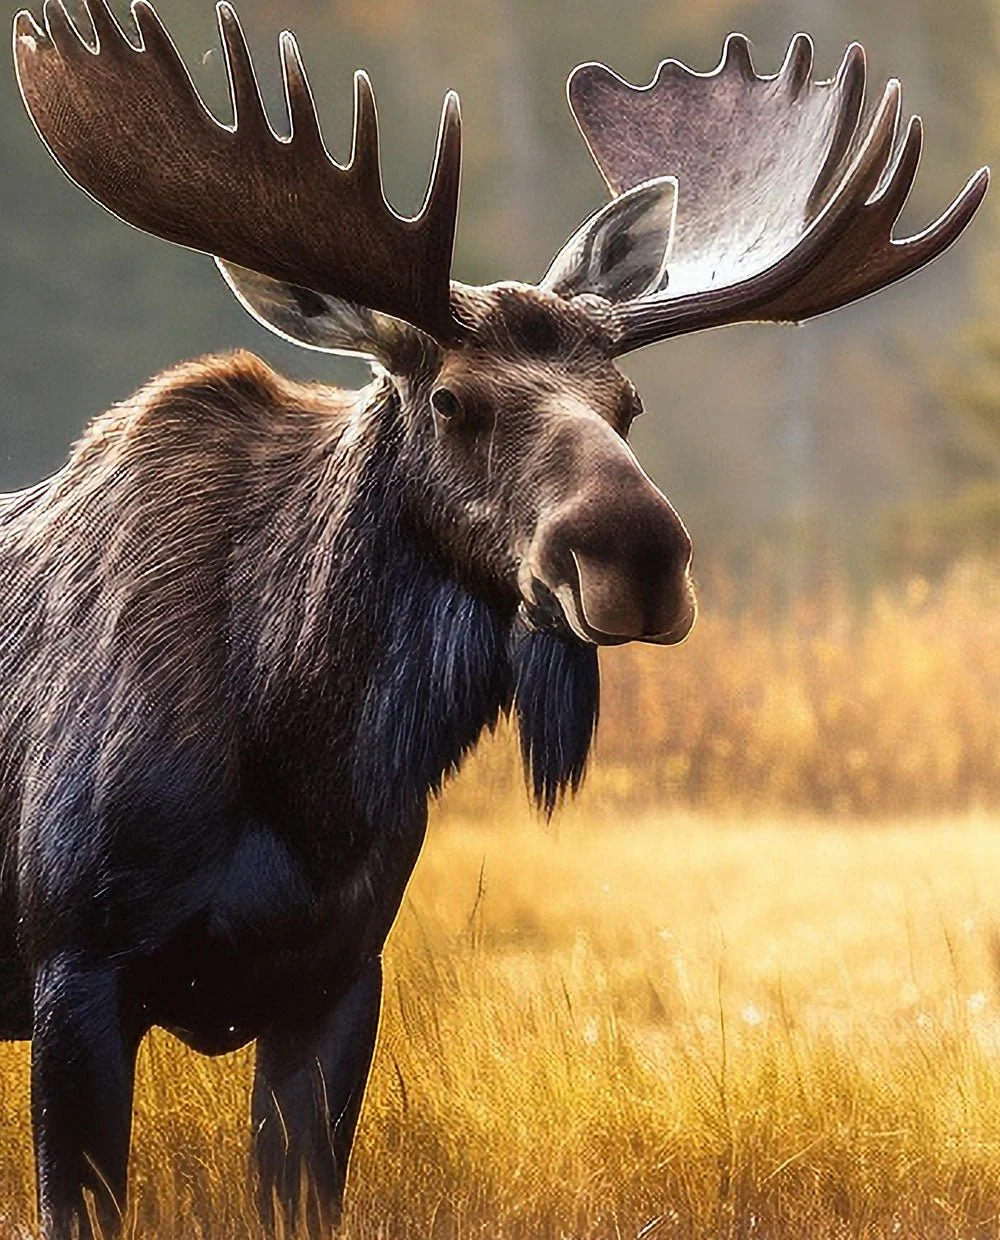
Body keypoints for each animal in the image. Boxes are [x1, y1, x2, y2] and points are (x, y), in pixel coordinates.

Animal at [4, 1, 988, 1236]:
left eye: (628, 404)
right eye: (450, 399)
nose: (635, 554)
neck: (301, 765)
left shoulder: (338, 976)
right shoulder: (74, 965)